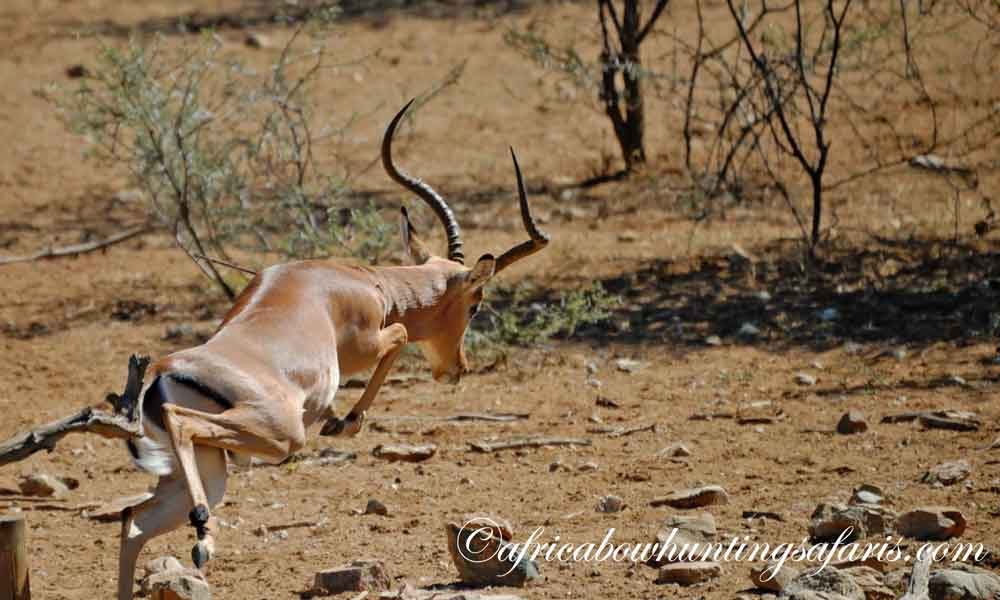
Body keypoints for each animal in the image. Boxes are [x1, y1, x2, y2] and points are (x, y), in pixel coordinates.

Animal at [114, 100, 549, 599]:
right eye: (475, 306)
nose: (457, 368)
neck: (369, 282)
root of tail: (162, 372)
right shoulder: (368, 342)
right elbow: (400, 335)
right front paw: (345, 422)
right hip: (275, 435)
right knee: (181, 428)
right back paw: (204, 537)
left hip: (211, 468)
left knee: (131, 522)